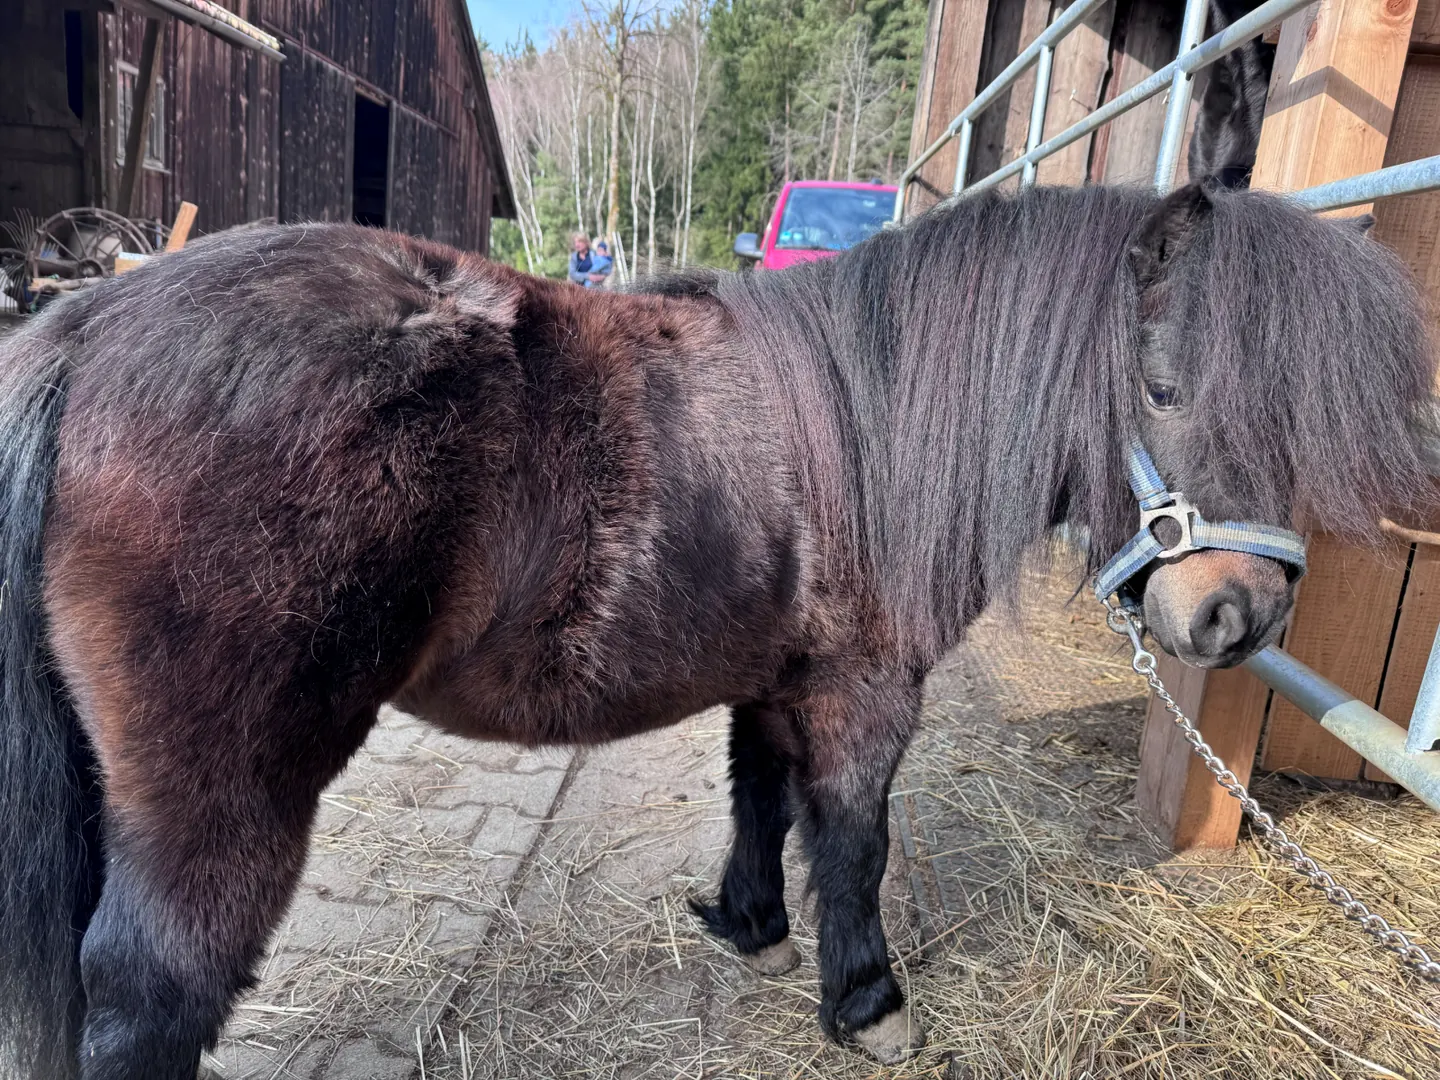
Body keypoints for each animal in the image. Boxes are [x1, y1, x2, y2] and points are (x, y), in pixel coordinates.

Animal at [0, 182, 1431, 1078]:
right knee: (149, 995)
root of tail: (92, 324)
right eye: (1164, 386)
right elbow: (852, 839)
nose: (1239, 614)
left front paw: (748, 924)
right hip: (223, 793)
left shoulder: (770, 673)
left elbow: (760, 795)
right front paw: (867, 1004)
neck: (866, 423)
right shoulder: (864, 689)